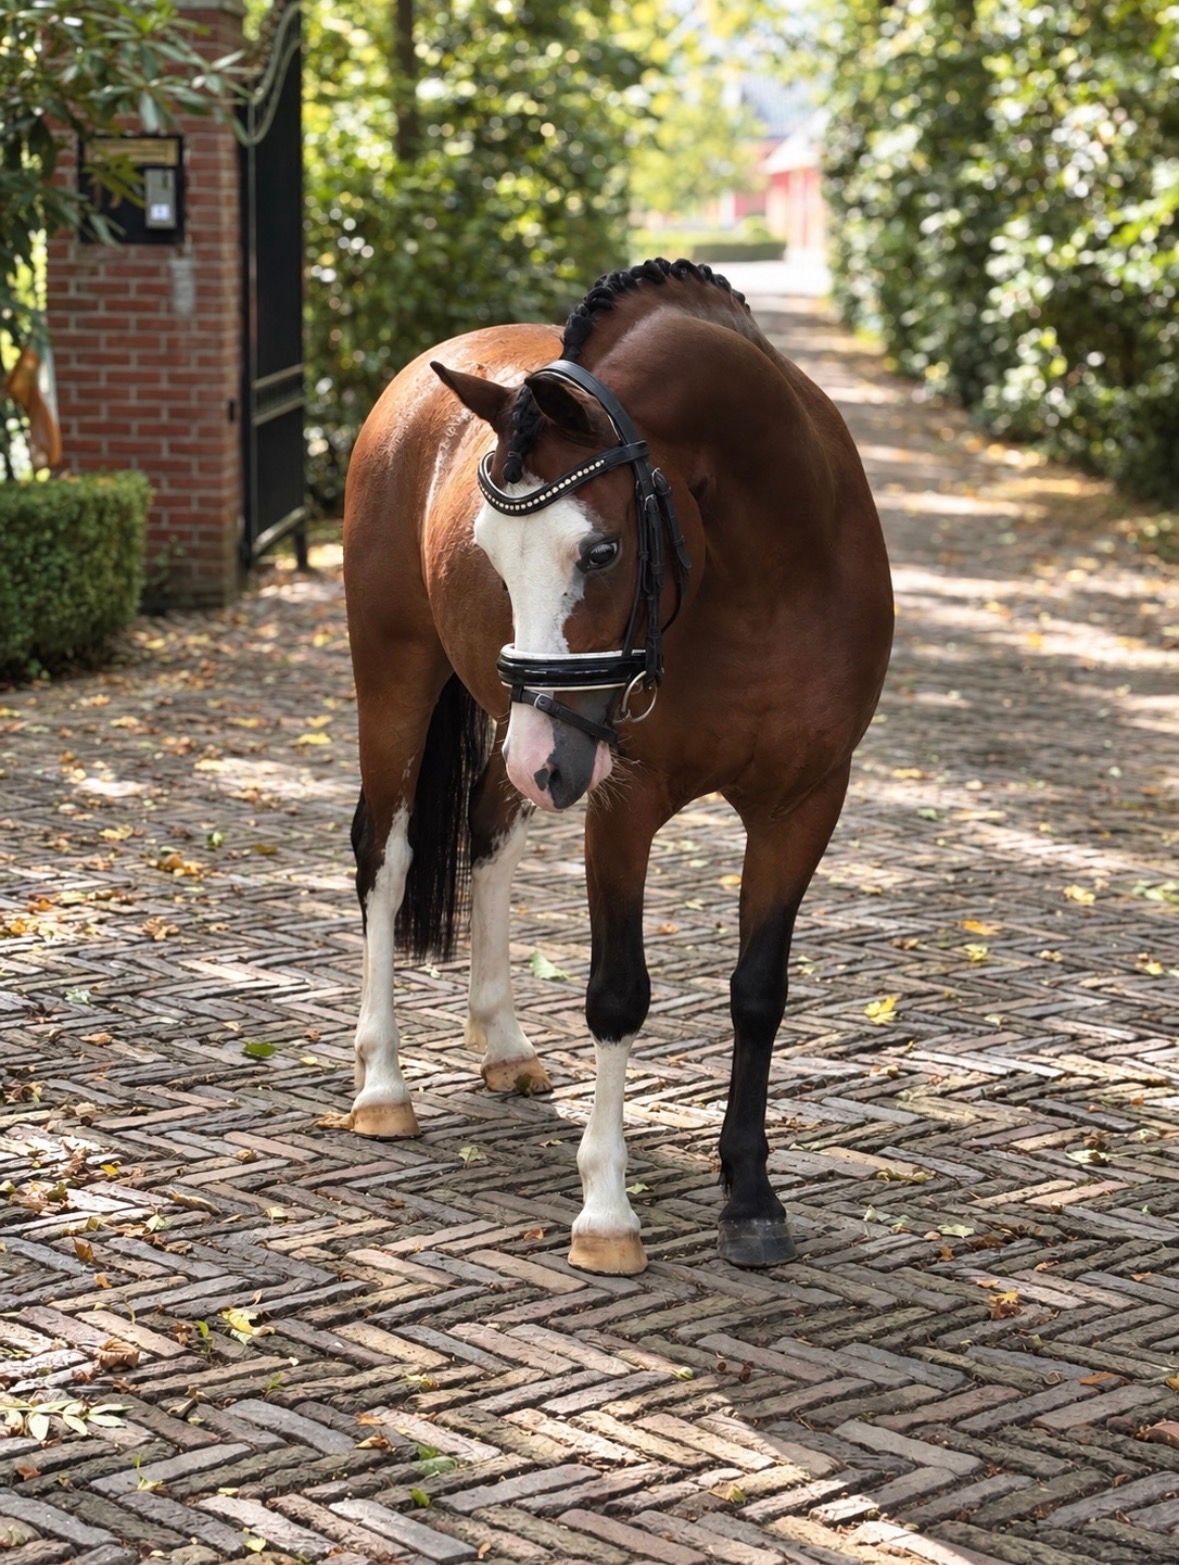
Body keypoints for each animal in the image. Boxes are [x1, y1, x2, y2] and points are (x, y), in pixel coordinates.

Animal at [342, 258, 893, 1274]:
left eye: (599, 550)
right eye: (491, 555)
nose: (542, 762)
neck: (766, 574)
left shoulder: (803, 801)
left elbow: (758, 991)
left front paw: (750, 1197)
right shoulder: (621, 802)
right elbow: (617, 994)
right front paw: (605, 1210)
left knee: (488, 835)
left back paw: (503, 1041)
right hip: (407, 681)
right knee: (385, 859)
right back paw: (383, 1086)